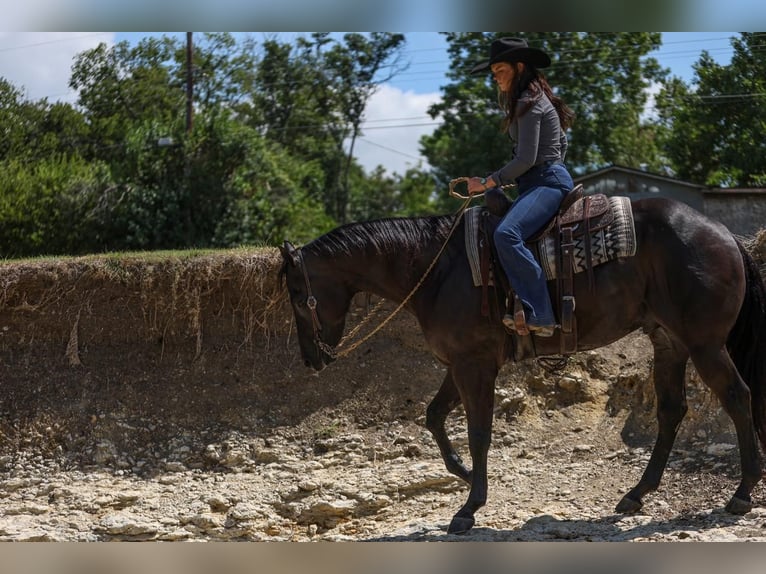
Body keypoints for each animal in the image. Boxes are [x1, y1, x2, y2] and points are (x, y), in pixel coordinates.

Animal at [280, 198, 766, 536]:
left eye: (297, 296)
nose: (310, 358)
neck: (437, 269)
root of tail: (724, 234)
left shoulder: (475, 365)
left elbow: (478, 432)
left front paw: (469, 507)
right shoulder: (460, 363)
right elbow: (434, 416)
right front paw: (462, 474)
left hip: (705, 345)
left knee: (738, 396)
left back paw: (742, 492)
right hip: (669, 343)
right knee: (671, 412)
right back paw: (636, 495)